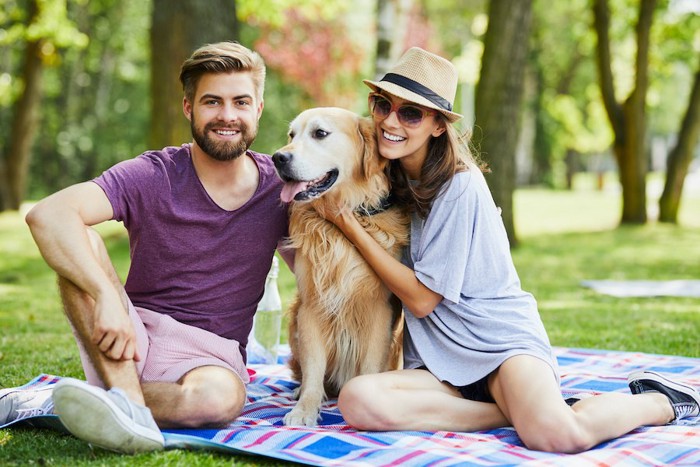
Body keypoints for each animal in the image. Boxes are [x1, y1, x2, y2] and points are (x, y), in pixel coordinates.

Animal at [270, 107, 408, 428]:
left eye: (320, 133)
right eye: (291, 135)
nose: (278, 158)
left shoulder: (379, 309)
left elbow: (370, 365)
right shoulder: (311, 305)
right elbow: (314, 367)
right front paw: (305, 408)